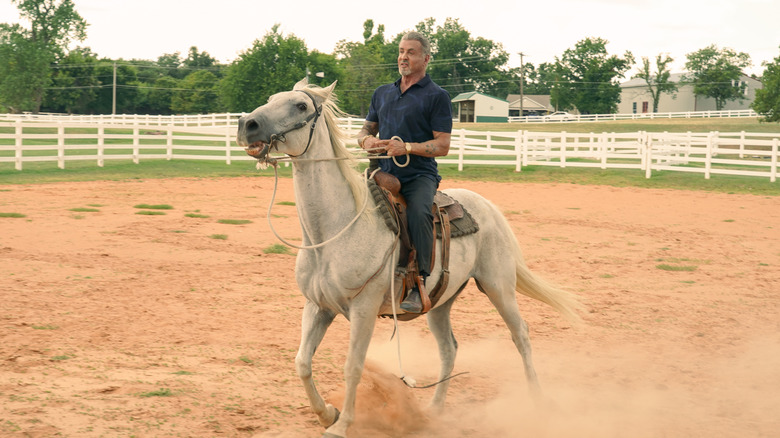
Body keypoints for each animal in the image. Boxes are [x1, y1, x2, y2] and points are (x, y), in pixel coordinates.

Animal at [236, 79, 580, 438]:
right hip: (440, 303)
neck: (335, 230)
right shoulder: (318, 306)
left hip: (499, 287)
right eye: (272, 98)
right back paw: (434, 410)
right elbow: (302, 362)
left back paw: (537, 402)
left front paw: (342, 424)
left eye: (301, 106)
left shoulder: (364, 308)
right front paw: (327, 413)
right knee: (449, 349)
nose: (247, 124)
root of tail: (490, 208)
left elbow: (353, 366)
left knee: (521, 336)